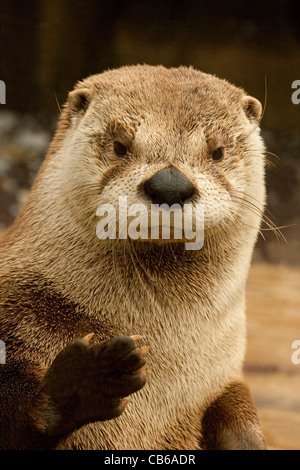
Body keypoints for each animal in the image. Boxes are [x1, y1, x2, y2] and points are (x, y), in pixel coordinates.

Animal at [0, 64, 266, 450]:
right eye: (120, 147)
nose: (170, 185)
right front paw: (86, 380)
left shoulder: (222, 377)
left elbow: (237, 409)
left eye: (217, 152)